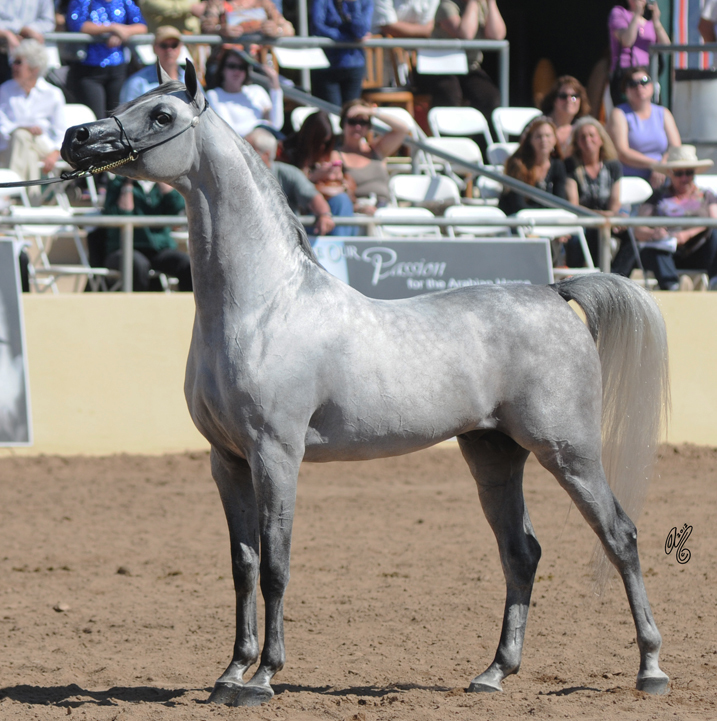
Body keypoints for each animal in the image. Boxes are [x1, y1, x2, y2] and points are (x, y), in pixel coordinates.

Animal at [61, 62, 671, 705]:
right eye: (132, 101)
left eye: (162, 115)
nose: (77, 137)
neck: (263, 306)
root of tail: (555, 292)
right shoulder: (226, 460)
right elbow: (243, 565)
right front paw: (230, 674)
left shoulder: (276, 454)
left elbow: (275, 564)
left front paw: (265, 677)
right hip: (493, 454)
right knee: (521, 552)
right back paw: (493, 673)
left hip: (567, 450)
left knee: (620, 535)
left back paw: (650, 669)